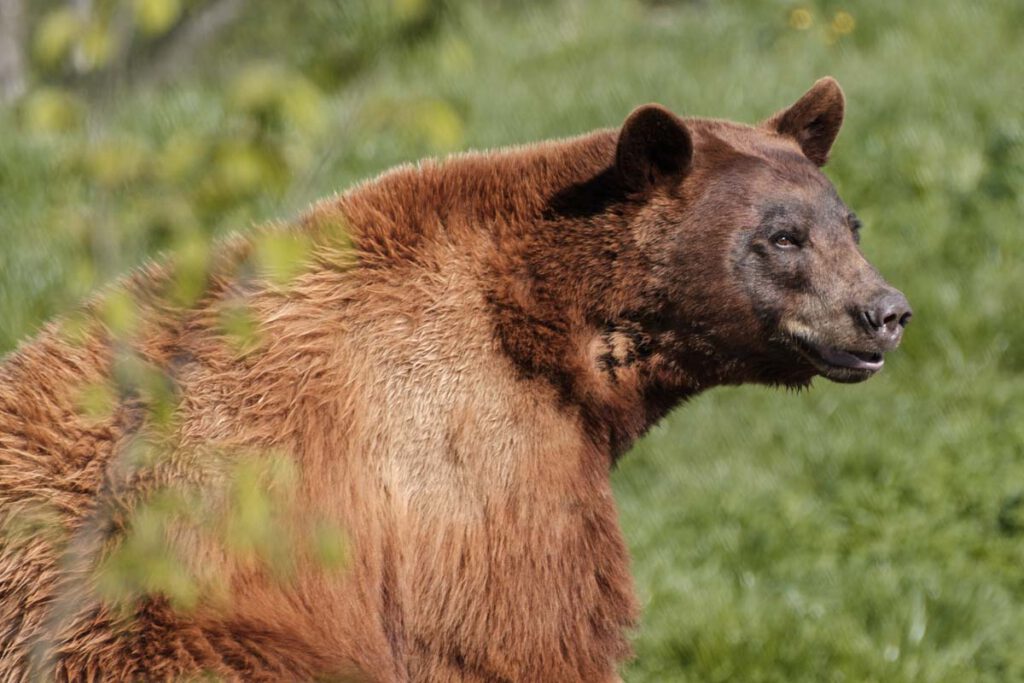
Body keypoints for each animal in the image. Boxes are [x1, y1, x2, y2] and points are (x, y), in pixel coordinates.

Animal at [2, 77, 913, 679]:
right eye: (783, 235)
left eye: (850, 221)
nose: (885, 311)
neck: (543, 318)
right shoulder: (474, 462)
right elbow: (519, 630)